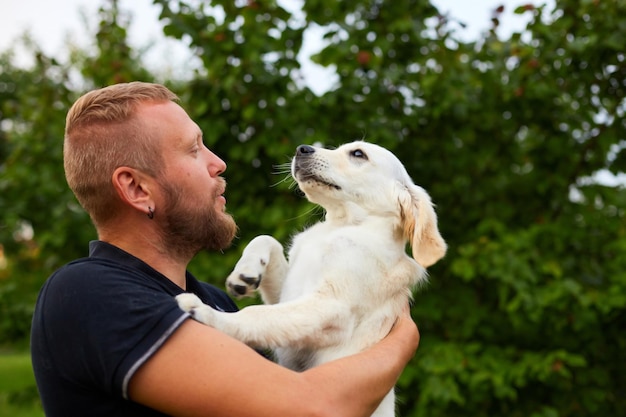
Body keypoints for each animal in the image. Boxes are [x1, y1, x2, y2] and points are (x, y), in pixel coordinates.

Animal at [178, 141, 446, 416]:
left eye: (358, 154)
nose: (302, 149)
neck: (342, 225)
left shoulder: (332, 307)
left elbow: (257, 315)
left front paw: (207, 313)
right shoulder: (286, 293)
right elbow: (266, 239)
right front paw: (246, 272)